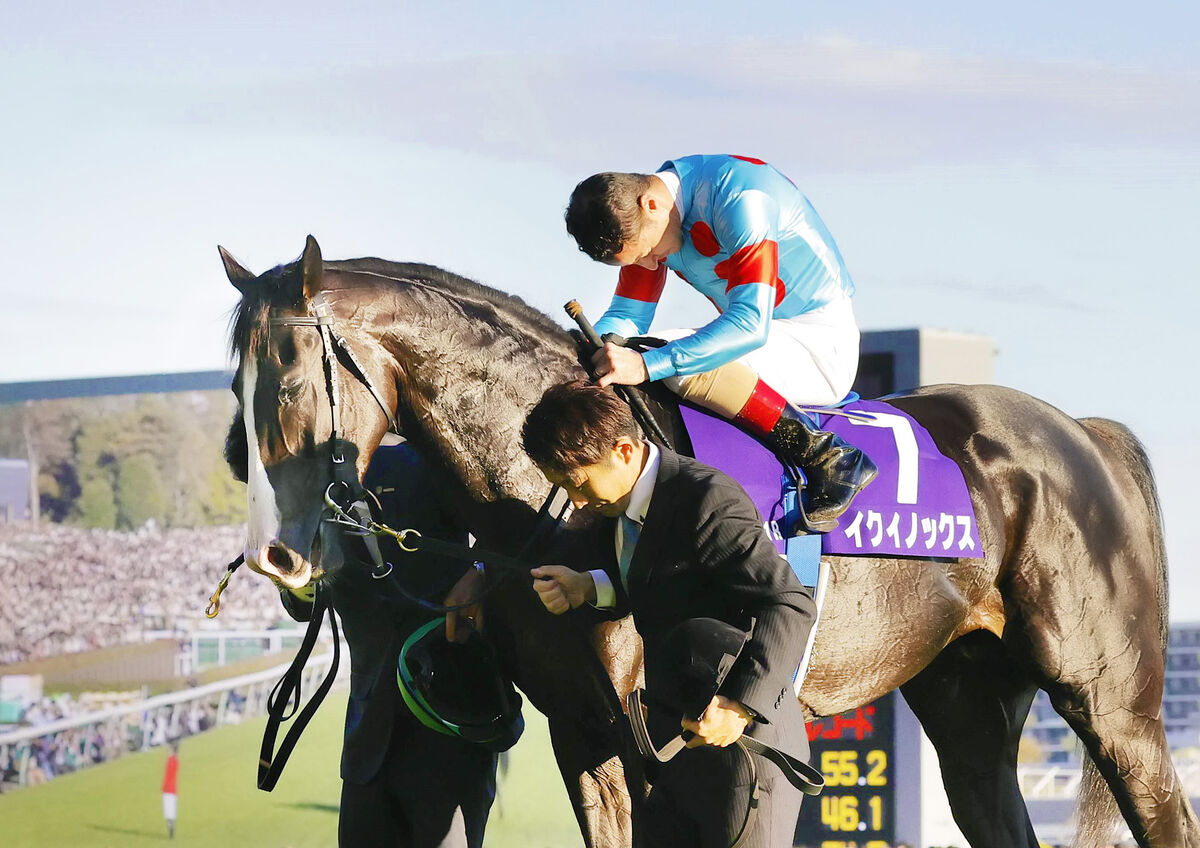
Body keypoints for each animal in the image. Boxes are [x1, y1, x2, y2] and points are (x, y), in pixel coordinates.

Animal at [220, 235, 1197, 848]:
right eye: (234, 384)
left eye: (291, 380)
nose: (279, 555)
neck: (555, 500)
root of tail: (1083, 432)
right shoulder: (583, 729)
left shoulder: (659, 732)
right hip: (967, 702)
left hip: (1113, 704)